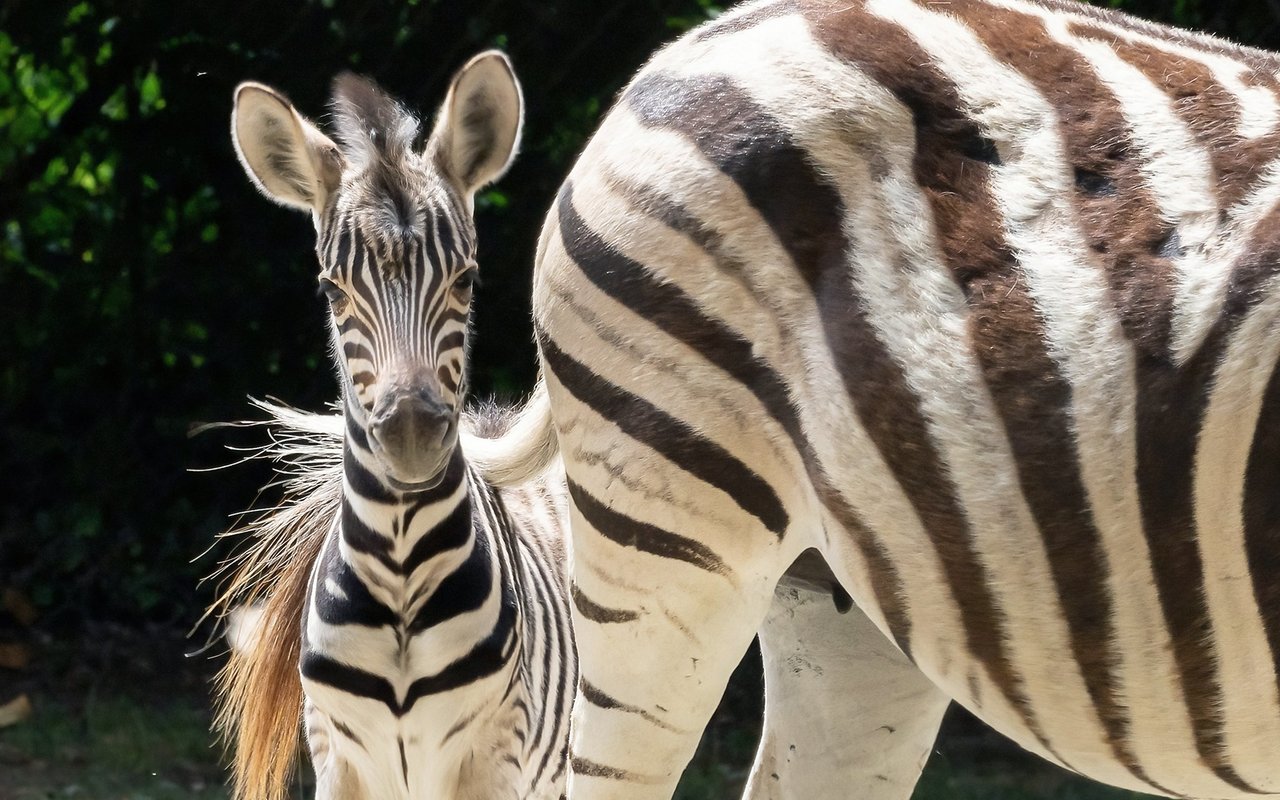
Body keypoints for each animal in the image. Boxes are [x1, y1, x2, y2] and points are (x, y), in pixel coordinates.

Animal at [206, 51, 576, 798]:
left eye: (466, 281)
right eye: (331, 289)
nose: (409, 437)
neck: (403, 576)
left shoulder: (491, 756)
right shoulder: (339, 759)